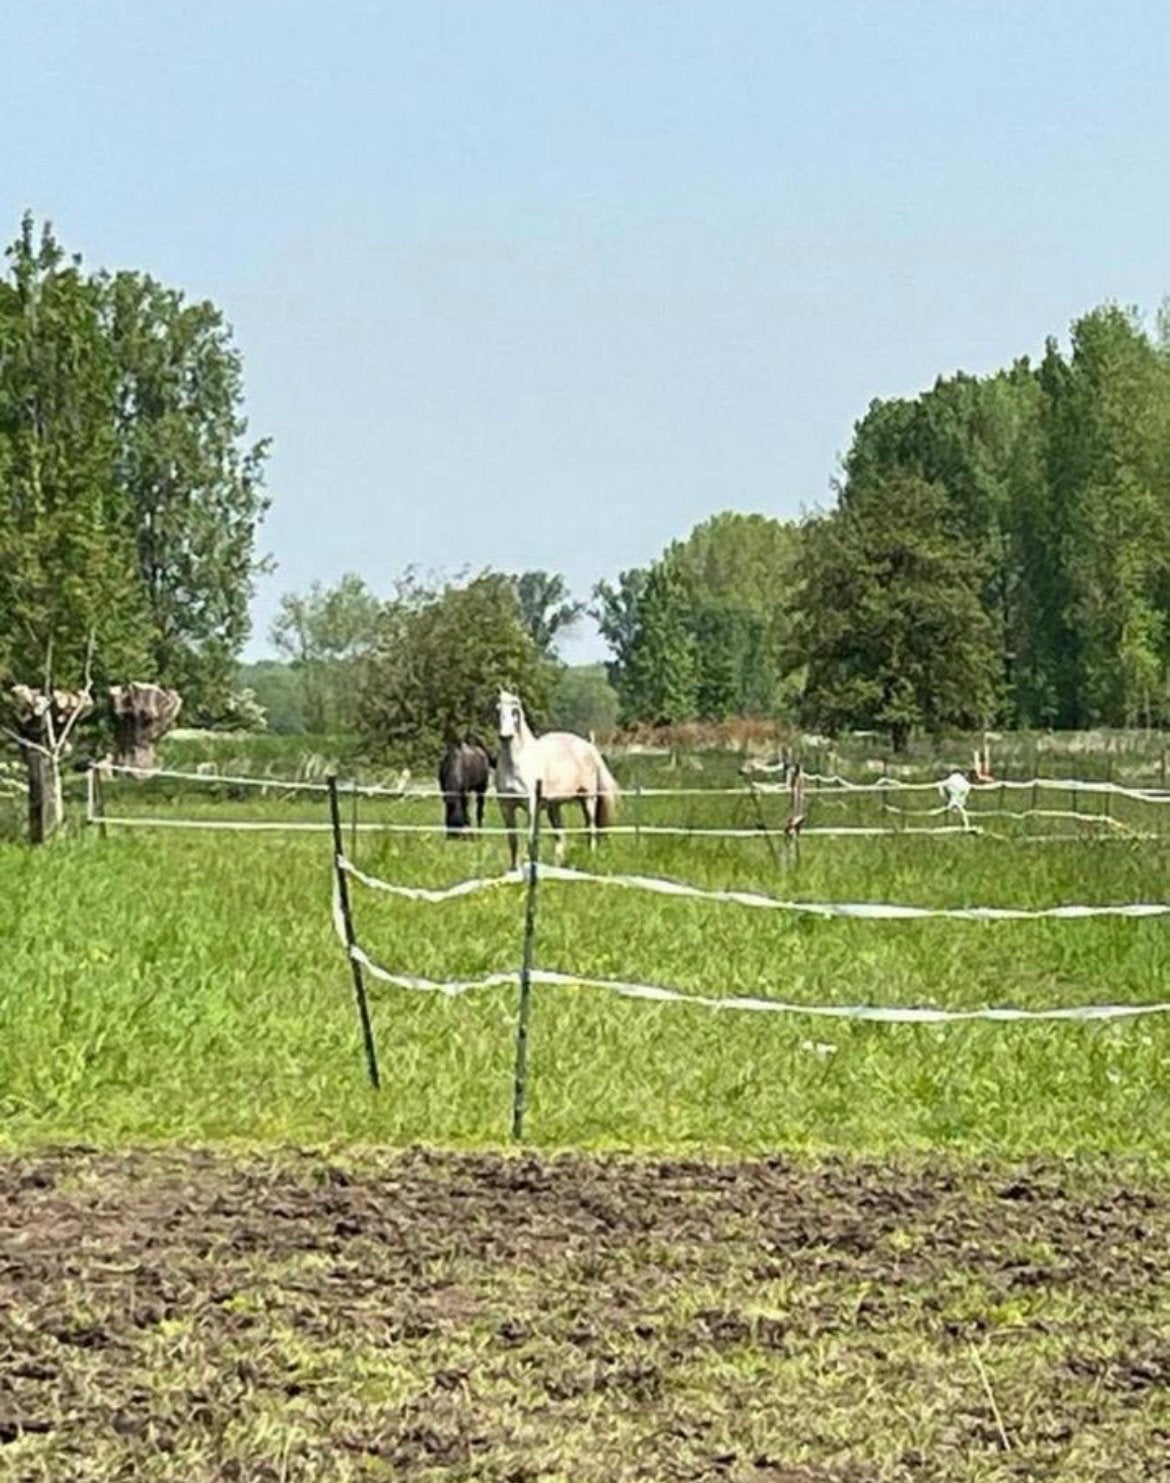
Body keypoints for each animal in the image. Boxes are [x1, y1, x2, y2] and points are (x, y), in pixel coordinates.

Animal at [495, 689, 619, 870]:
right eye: (498, 709)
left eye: (515, 710)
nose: (505, 736)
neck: (516, 762)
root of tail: (589, 746)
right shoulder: (506, 807)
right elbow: (513, 840)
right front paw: (513, 869)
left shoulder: (531, 806)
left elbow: (530, 839)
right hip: (555, 806)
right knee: (561, 837)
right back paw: (557, 866)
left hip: (588, 799)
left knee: (591, 829)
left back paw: (591, 857)